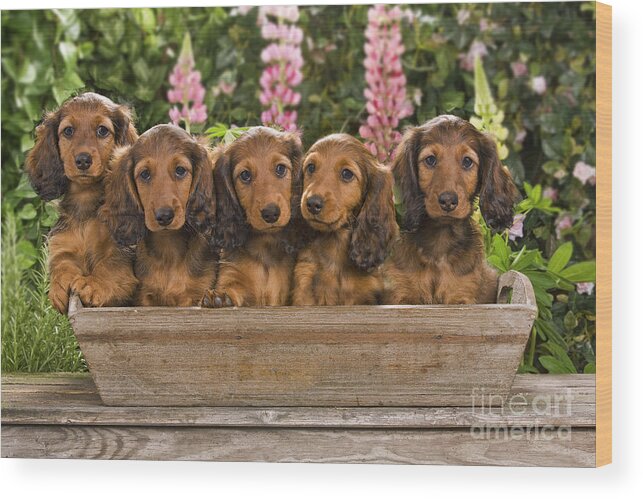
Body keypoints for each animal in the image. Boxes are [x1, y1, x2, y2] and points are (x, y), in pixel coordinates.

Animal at [26, 92, 141, 314]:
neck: (86, 202)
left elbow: (111, 265)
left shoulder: (124, 249)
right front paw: (58, 286)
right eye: (68, 131)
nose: (83, 160)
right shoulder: (63, 244)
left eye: (102, 130)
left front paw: (92, 284)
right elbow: (62, 263)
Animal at [102, 124, 218, 308]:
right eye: (145, 174)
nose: (164, 216)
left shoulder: (197, 293)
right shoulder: (144, 297)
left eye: (180, 170)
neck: (169, 252)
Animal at [203, 127, 304, 306]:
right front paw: (220, 297)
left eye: (280, 169)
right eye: (245, 175)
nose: (271, 213)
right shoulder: (231, 274)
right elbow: (230, 288)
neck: (265, 245)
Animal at [384, 116, 520, 304]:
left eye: (467, 161)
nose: (448, 201)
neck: (440, 242)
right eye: (430, 160)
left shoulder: (462, 297)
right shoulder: (402, 296)